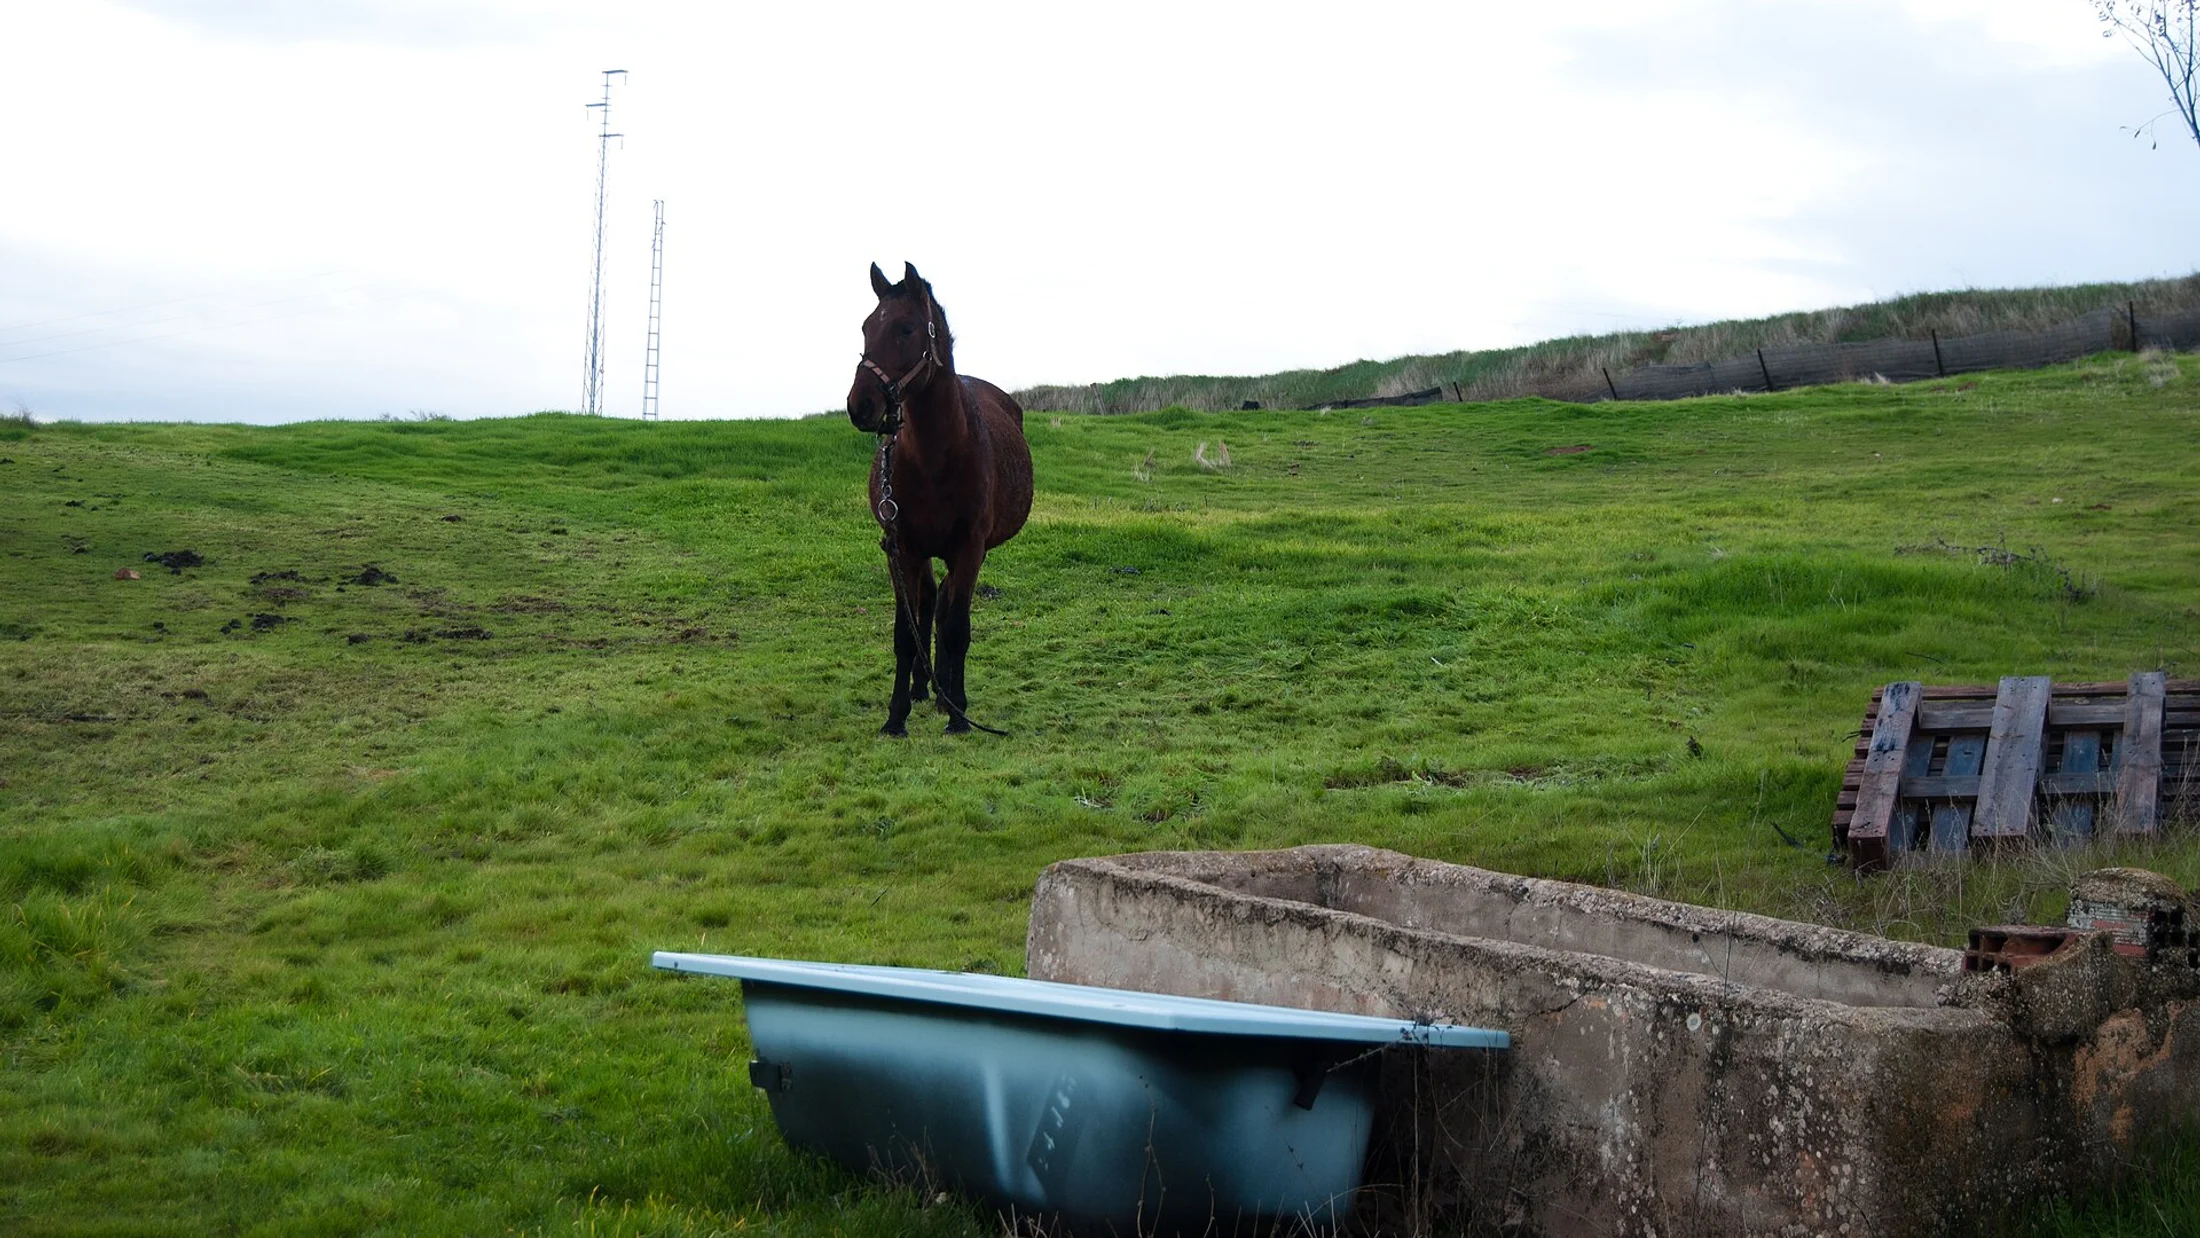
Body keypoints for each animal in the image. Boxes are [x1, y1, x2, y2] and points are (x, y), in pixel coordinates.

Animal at [846, 263, 1033, 736]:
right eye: (866, 327)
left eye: (906, 329)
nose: (861, 405)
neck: (935, 456)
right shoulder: (904, 547)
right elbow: (905, 630)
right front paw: (896, 715)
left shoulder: (969, 548)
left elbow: (956, 629)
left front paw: (959, 713)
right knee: (929, 603)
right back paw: (922, 687)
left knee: (945, 606)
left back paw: (945, 689)